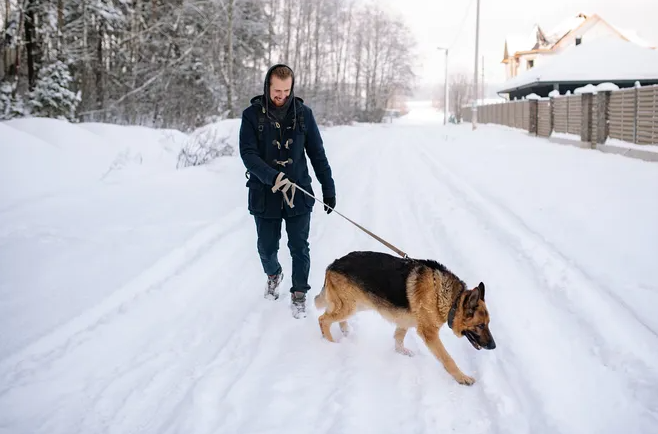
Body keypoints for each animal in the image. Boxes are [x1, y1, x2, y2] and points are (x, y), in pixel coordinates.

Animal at [312, 249, 492, 384]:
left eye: (488, 324)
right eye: (480, 325)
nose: (493, 346)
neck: (451, 299)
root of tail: (333, 264)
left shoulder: (404, 322)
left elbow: (398, 339)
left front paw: (402, 352)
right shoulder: (430, 334)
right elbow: (447, 358)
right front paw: (462, 378)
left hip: (356, 305)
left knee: (333, 317)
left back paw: (345, 331)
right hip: (349, 307)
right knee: (323, 320)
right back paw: (330, 343)